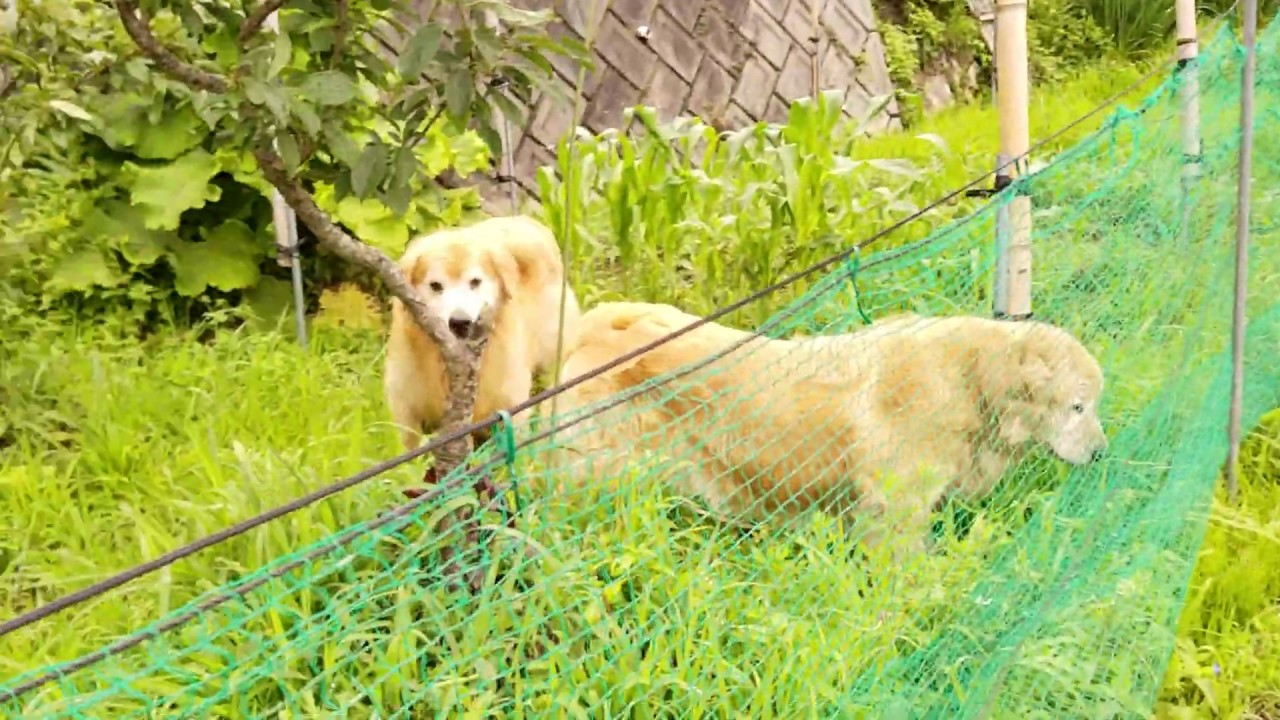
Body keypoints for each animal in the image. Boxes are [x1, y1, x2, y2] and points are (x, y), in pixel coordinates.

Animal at [378, 212, 581, 448]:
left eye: (475, 282)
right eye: (435, 285)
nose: (460, 322)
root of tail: (523, 223)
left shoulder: (510, 403)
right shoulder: (405, 408)